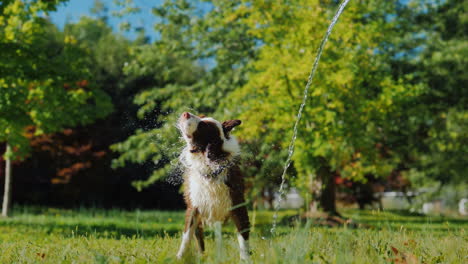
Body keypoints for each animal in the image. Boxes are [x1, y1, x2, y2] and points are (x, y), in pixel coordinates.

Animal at [176, 111, 250, 260]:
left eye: (203, 126)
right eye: (200, 116)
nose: (185, 113)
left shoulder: (237, 204)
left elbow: (243, 237)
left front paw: (246, 260)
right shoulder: (194, 205)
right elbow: (187, 235)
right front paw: (180, 257)